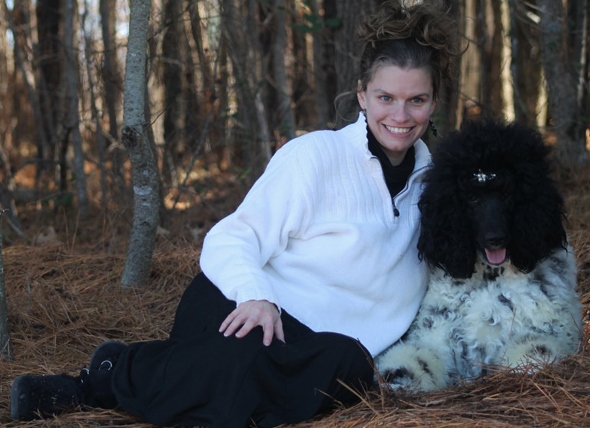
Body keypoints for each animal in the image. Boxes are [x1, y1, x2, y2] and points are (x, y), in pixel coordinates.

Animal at [375, 119, 582, 392]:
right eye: (472, 198)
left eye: (506, 193)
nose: (495, 238)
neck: (490, 276)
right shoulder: (439, 338)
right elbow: (419, 358)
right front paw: (400, 373)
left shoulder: (544, 332)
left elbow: (535, 353)